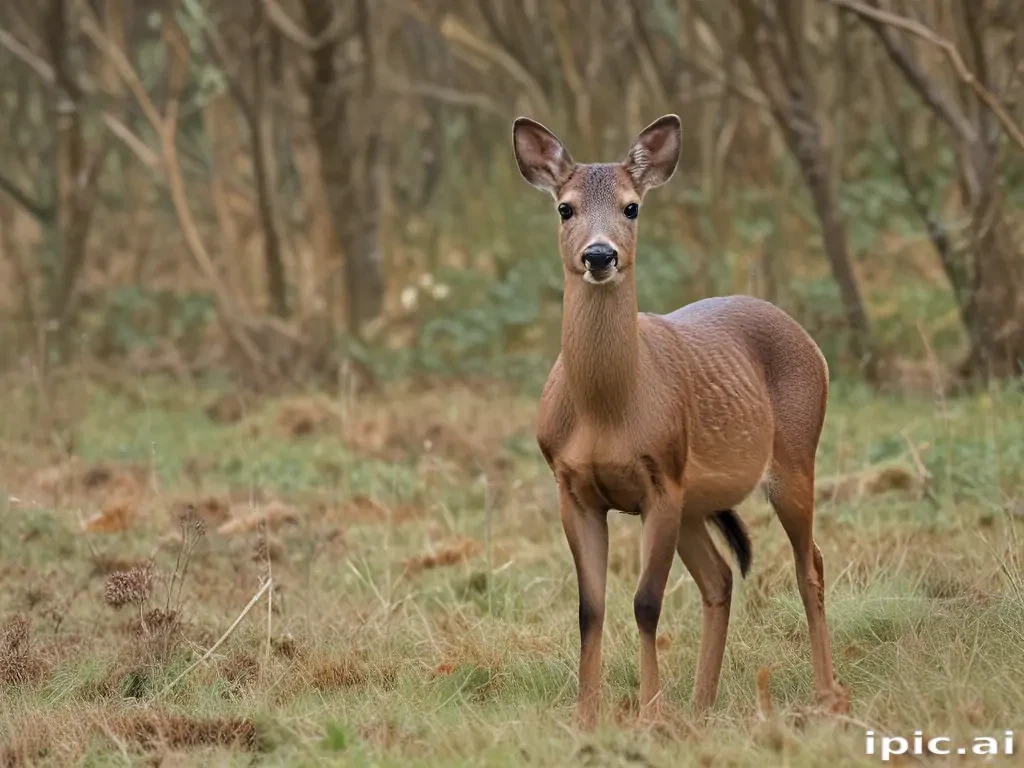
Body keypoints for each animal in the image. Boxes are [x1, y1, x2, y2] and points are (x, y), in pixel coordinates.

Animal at [512, 114, 849, 728]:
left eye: (632, 207)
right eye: (565, 208)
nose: (600, 255)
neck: (608, 409)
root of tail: (809, 341)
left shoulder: (660, 480)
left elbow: (646, 603)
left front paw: (651, 716)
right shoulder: (572, 488)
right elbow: (589, 608)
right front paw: (587, 718)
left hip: (793, 457)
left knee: (808, 563)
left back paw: (825, 696)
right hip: (697, 500)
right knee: (720, 578)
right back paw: (701, 705)